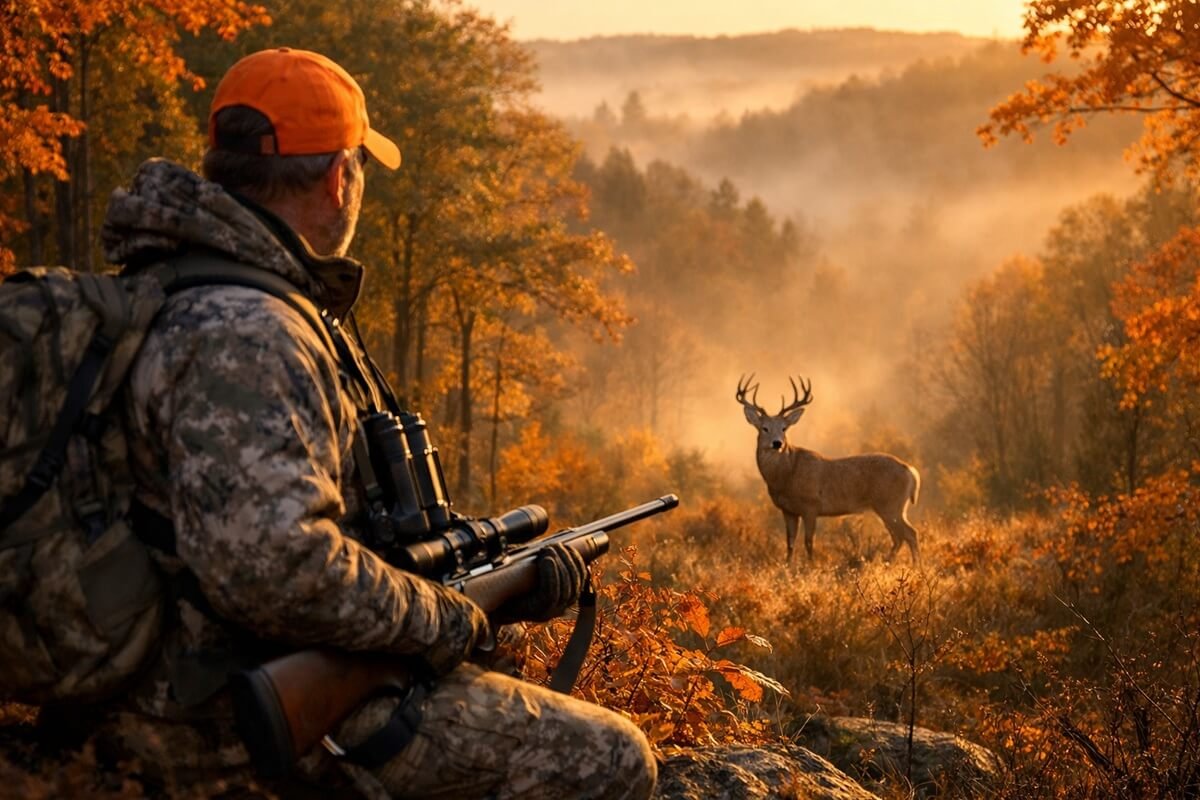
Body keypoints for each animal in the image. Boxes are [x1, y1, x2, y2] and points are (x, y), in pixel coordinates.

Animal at [736, 374, 921, 565]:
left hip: (890, 504)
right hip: (892, 506)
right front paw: (788, 566)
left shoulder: (811, 506)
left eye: (784, 428)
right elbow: (790, 543)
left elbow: (809, 542)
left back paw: (914, 566)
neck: (786, 476)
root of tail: (911, 472)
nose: (778, 443)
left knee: (910, 533)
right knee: (899, 536)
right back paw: (889, 562)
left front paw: (810, 566)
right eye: (764, 428)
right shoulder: (788, 510)